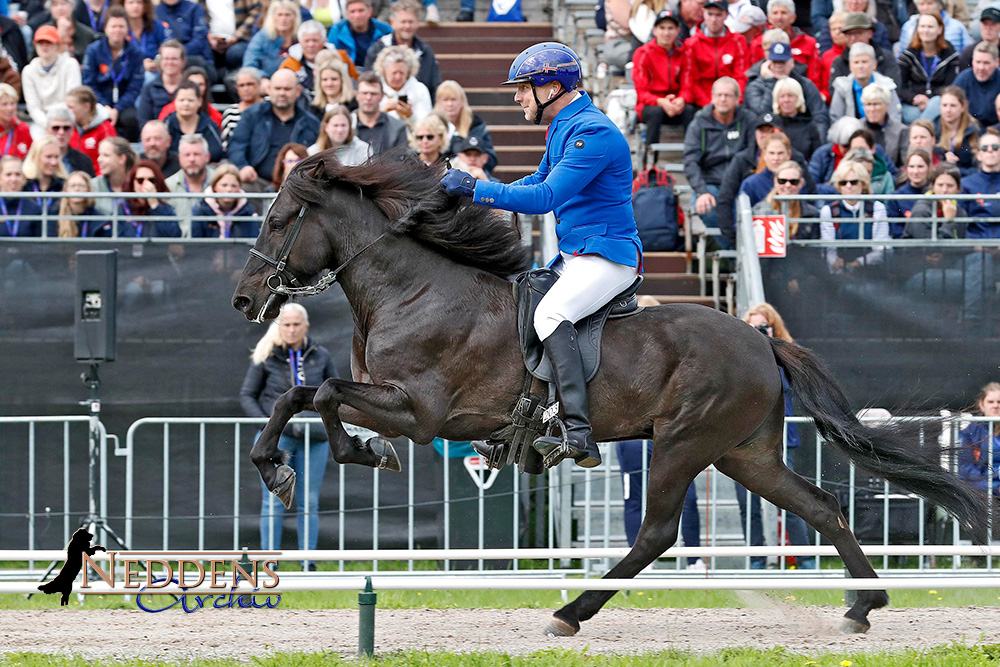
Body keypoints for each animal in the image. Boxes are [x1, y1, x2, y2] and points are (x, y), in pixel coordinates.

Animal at [230, 150, 988, 636]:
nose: (243, 299)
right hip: (745, 454)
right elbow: (300, 397)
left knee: (656, 531)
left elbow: (321, 394)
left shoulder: (418, 412)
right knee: (821, 506)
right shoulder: (401, 404)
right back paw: (863, 605)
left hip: (684, 442)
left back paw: (572, 613)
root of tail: (757, 337)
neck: (411, 289)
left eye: (277, 220)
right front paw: (281, 466)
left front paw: (339, 458)